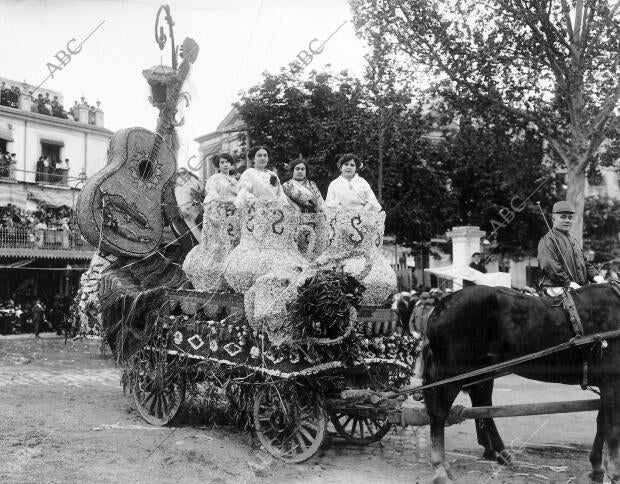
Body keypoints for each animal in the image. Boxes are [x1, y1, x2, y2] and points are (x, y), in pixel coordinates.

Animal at [424, 284, 620, 484]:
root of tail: (439, 307)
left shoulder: (607, 384)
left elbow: (602, 423)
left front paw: (597, 467)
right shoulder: (612, 383)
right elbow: (612, 429)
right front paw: (613, 473)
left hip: (482, 370)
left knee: (480, 400)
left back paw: (495, 453)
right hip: (451, 373)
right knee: (438, 412)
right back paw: (440, 467)